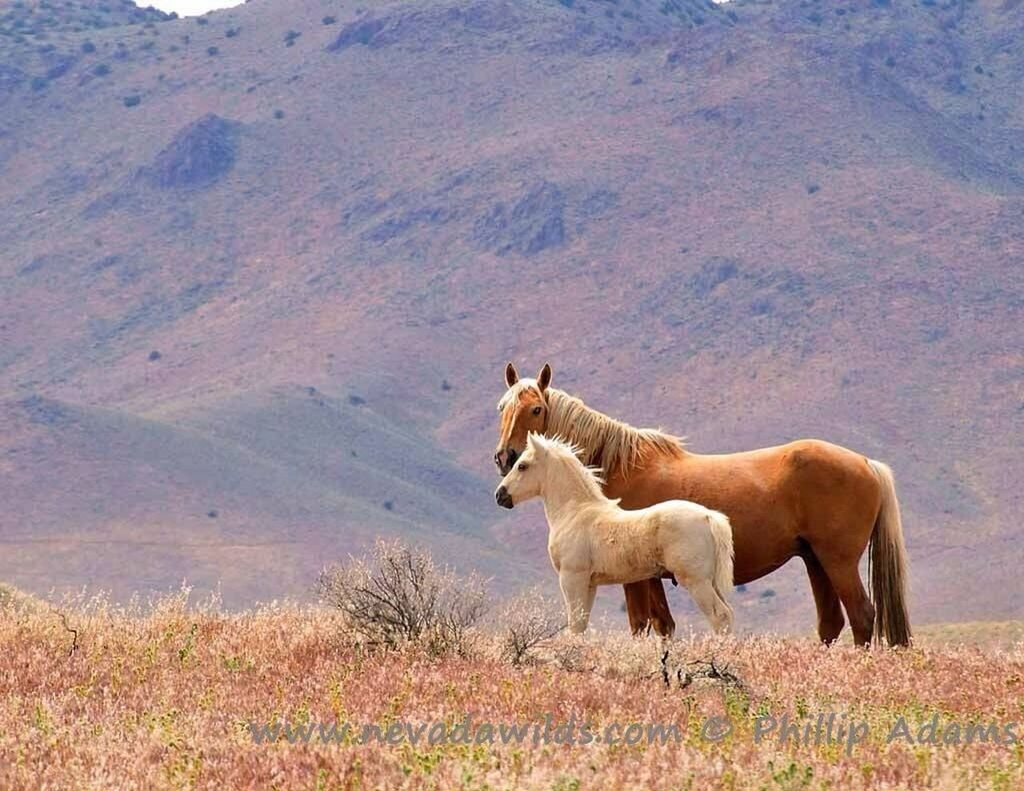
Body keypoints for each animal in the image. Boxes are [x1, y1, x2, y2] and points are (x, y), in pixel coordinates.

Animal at [495, 432, 737, 635]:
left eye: (522, 466)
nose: (500, 495)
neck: (575, 511)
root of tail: (708, 517)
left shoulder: (572, 577)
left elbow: (575, 624)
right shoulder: (589, 583)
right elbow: (581, 623)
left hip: (696, 580)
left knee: (720, 616)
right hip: (710, 580)